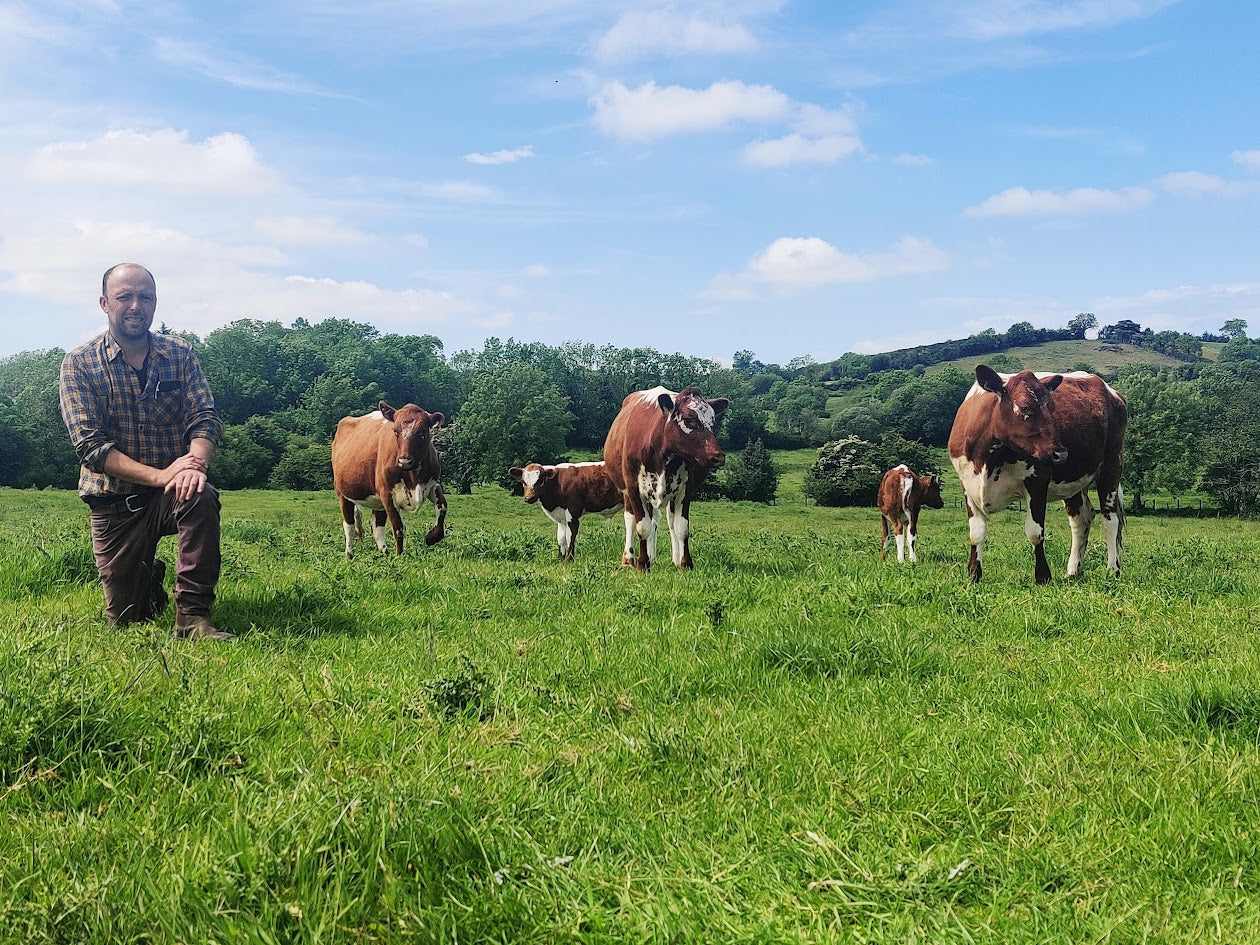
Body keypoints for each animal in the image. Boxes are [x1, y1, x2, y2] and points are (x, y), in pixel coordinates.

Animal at [331, 401, 447, 558]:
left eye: (423, 431)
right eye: (395, 431)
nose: (404, 461)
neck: (413, 478)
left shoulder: (432, 485)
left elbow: (443, 507)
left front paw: (432, 537)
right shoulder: (387, 494)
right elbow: (398, 528)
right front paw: (399, 556)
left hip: (377, 501)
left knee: (377, 526)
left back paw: (384, 554)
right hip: (343, 494)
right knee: (349, 526)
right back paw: (349, 555)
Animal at [603, 385, 729, 571]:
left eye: (713, 422)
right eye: (689, 420)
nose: (718, 456)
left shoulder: (685, 489)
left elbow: (681, 527)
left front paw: (685, 563)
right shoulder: (634, 489)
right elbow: (643, 526)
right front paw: (642, 563)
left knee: (668, 521)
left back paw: (673, 558)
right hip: (627, 491)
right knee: (631, 520)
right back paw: (628, 558)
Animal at [948, 365, 1126, 584]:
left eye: (1051, 407)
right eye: (1025, 407)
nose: (1061, 453)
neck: (987, 459)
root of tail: (1111, 391)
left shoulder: (1037, 482)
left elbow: (1035, 533)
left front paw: (1042, 576)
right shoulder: (967, 484)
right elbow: (976, 532)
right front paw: (974, 574)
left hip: (1112, 464)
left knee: (1110, 519)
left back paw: (1113, 570)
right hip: (1073, 480)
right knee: (1081, 519)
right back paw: (1074, 570)